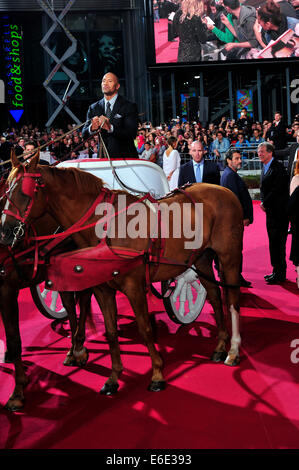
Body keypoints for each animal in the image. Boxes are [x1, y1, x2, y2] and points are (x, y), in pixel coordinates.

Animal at [0, 152, 244, 394]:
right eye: (6, 190)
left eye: (25, 192)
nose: (5, 232)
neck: (106, 226)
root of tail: (224, 190)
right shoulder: (102, 288)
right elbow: (111, 331)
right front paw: (114, 377)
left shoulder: (134, 286)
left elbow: (145, 328)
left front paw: (157, 373)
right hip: (201, 259)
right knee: (215, 295)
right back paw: (220, 346)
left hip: (229, 258)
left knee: (232, 300)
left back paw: (233, 350)